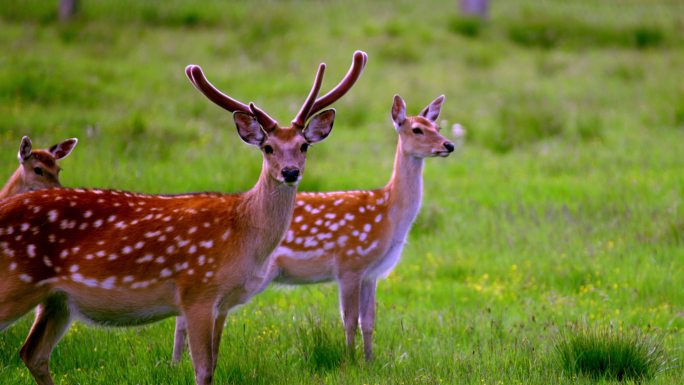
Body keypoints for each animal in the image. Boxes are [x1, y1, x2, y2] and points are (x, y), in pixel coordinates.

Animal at [0, 51, 368, 384]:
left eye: (304, 146)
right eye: (268, 148)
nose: (290, 172)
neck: (243, 236)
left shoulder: (223, 304)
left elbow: (214, 365)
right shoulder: (197, 291)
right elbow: (203, 370)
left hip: (57, 301)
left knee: (33, 353)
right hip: (16, 282)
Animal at [174, 93, 456, 360]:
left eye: (438, 126)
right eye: (417, 129)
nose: (449, 145)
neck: (388, 214)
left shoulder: (372, 273)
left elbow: (369, 321)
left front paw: (370, 361)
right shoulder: (350, 263)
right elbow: (350, 320)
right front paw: (350, 361)